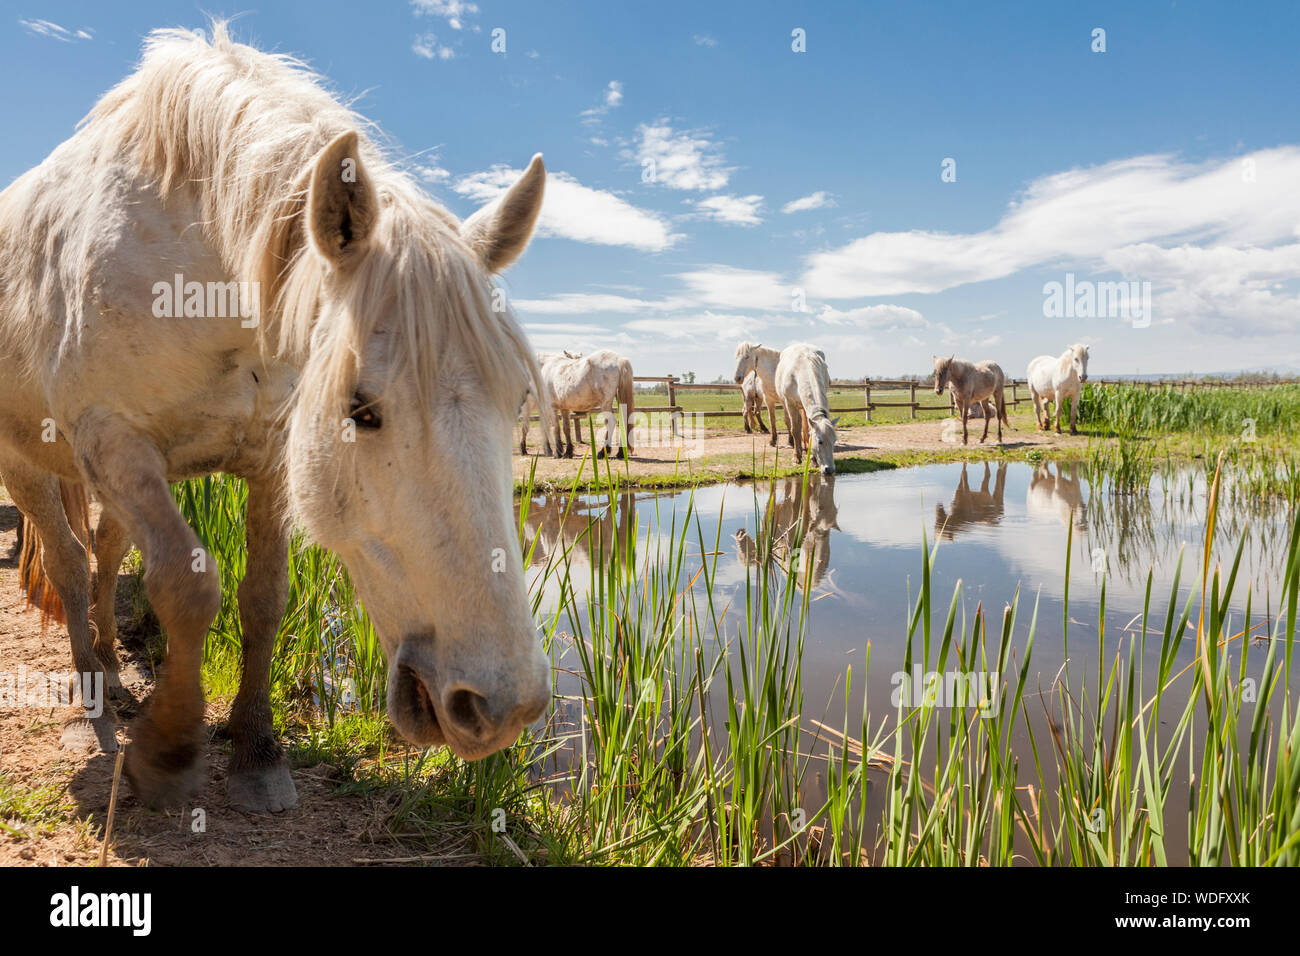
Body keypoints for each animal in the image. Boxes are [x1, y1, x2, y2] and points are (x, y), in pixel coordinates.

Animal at [0, 26, 551, 811]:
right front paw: (169, 750)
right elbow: (189, 584)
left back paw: (110, 662)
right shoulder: (117, 444)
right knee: (71, 566)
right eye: (360, 409)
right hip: (30, 467)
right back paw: (93, 708)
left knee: (104, 553)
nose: (503, 706)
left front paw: (257, 753)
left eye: (518, 402)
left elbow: (264, 598)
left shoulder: (268, 461)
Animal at [774, 343, 837, 478]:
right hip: (785, 403)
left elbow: (808, 431)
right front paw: (796, 458)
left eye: (834, 441)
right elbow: (795, 429)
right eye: (820, 441)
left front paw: (813, 460)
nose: (830, 470)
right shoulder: (790, 404)